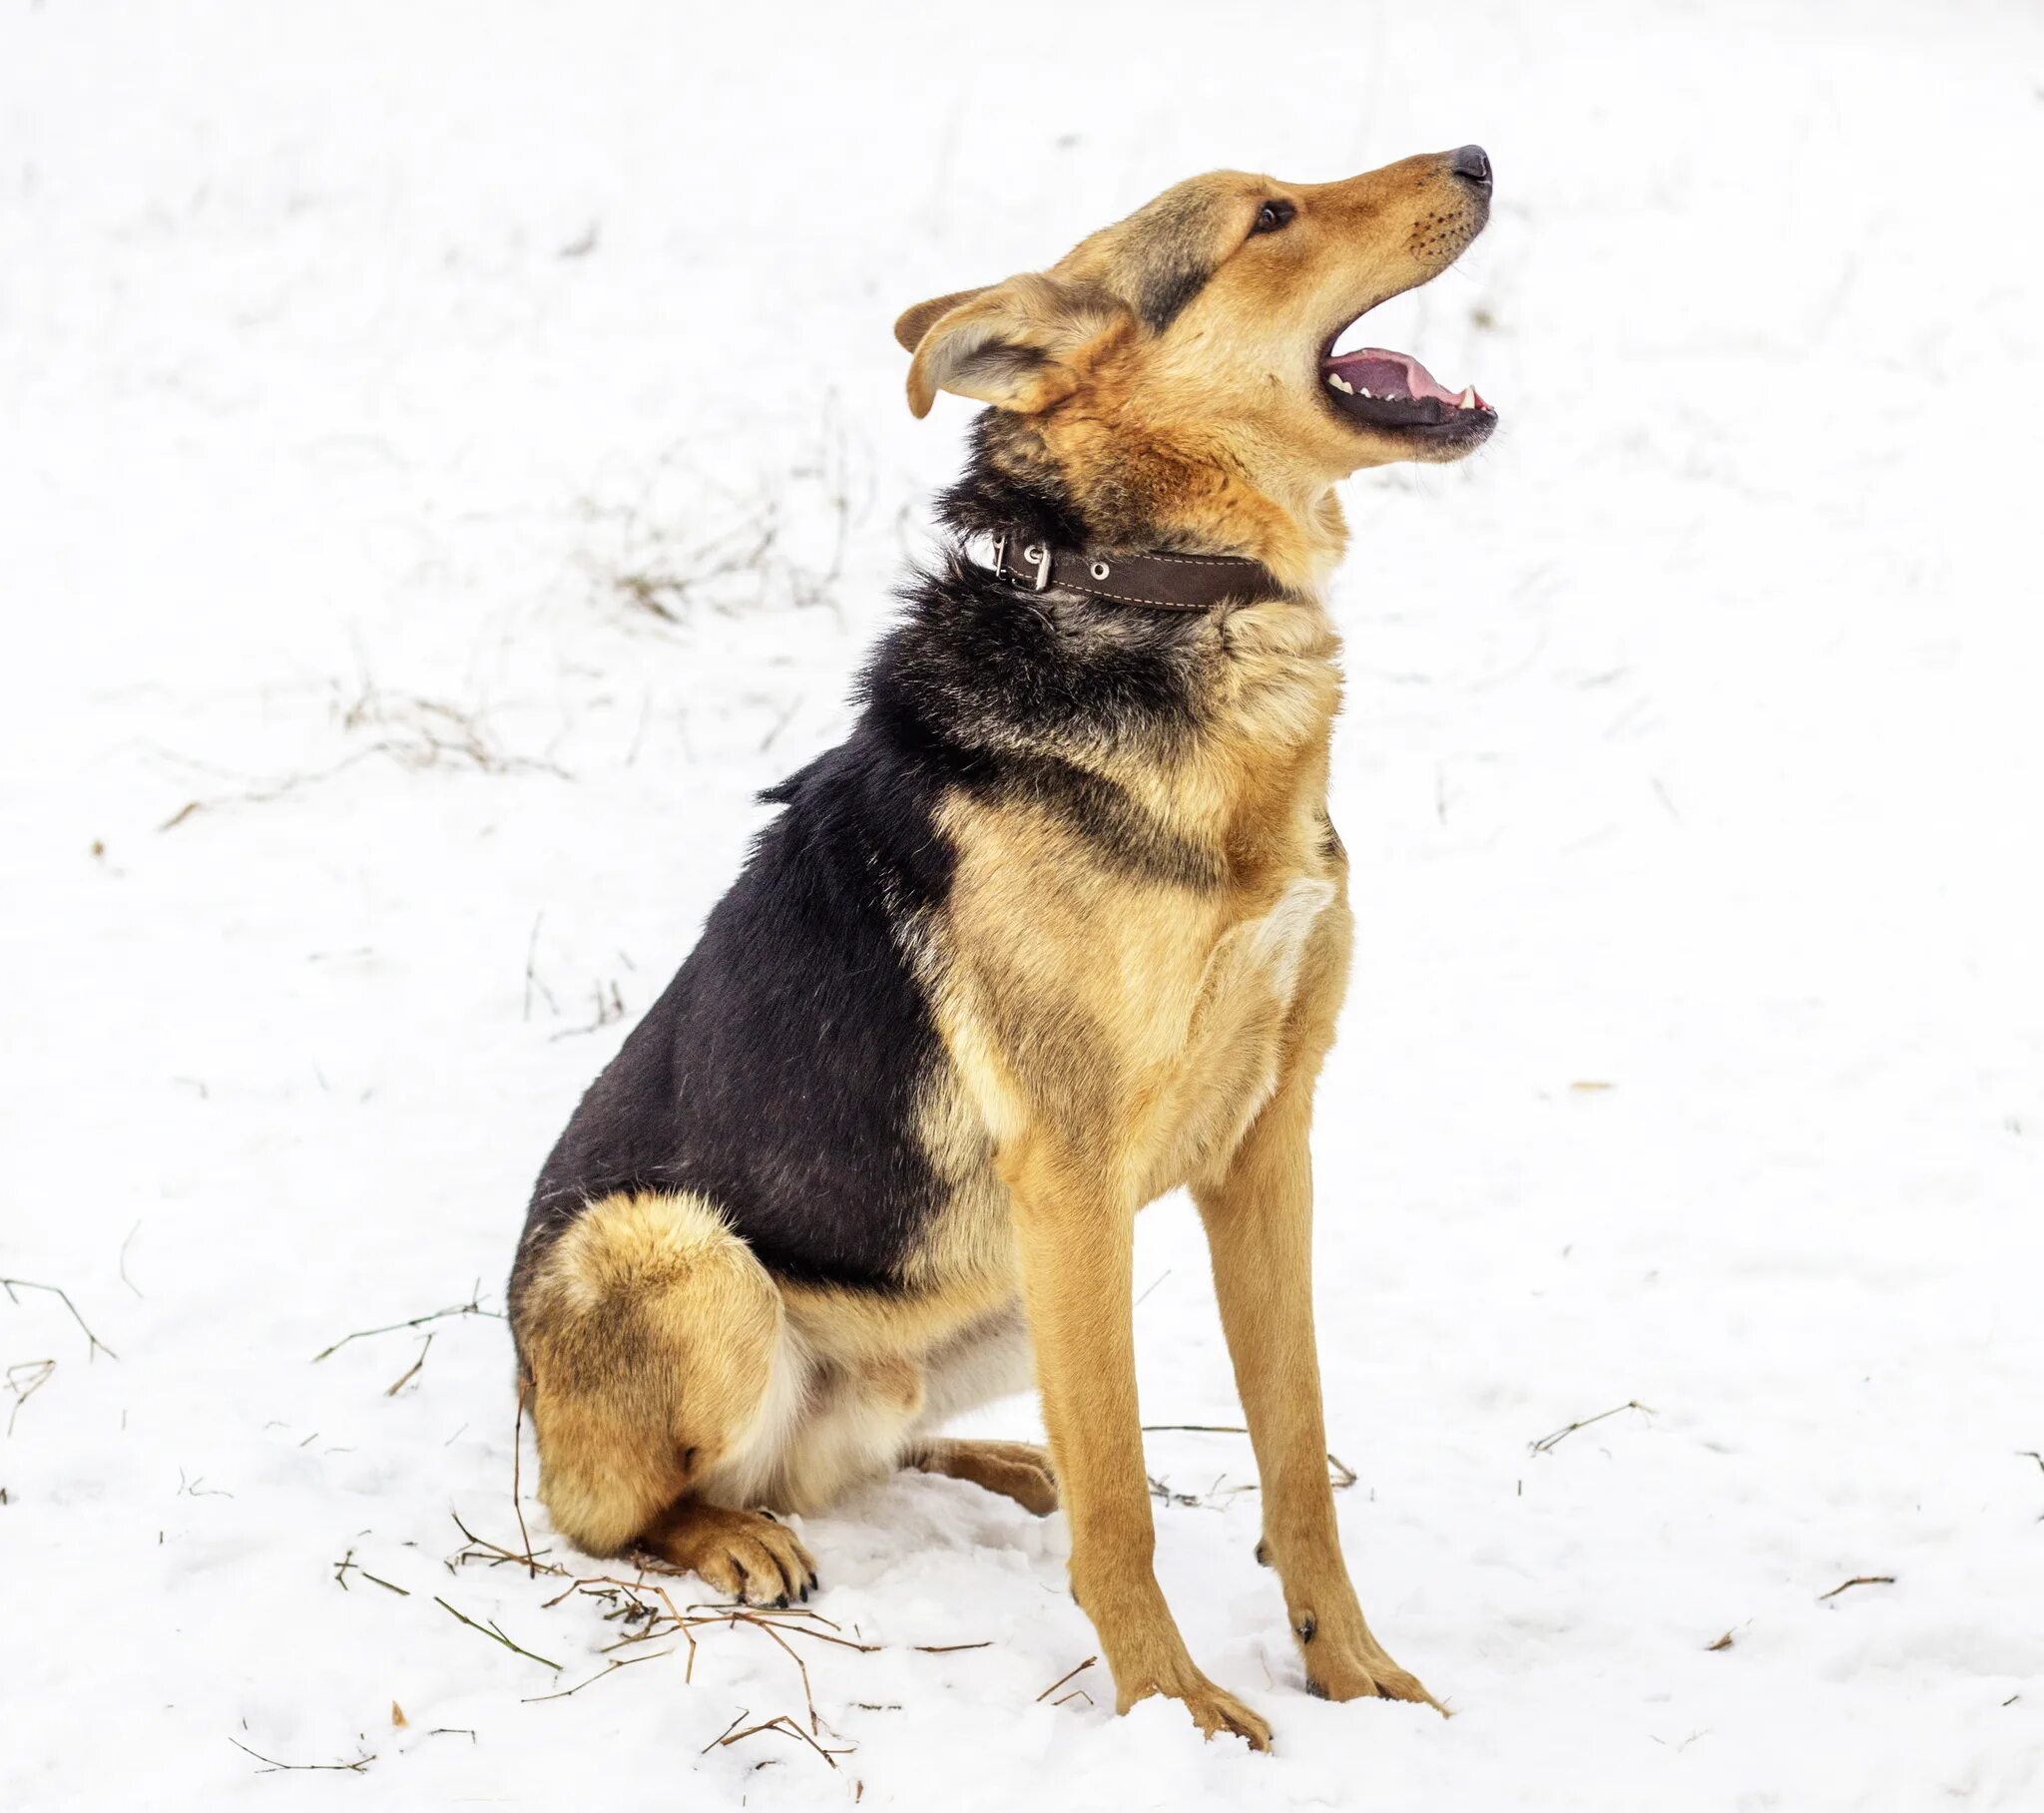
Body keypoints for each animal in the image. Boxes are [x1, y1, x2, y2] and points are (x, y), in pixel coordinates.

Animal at [506, 149, 1504, 1749]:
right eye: (1269, 217)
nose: (1477, 157)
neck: (1149, 594)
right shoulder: (1074, 1166)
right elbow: (1124, 1501)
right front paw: (1171, 1707)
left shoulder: (1265, 1146)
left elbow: (1295, 1452)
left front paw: (1352, 1671)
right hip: (683, 1250)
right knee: (630, 1508)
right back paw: (731, 1537)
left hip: (998, 1292)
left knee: (865, 1456)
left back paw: (988, 1466)